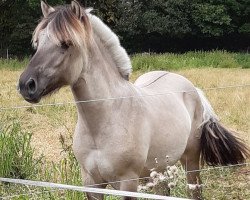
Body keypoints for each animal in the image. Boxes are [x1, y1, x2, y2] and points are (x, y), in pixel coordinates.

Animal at [18, 1, 250, 198]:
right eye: (37, 43)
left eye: (66, 44)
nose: (26, 85)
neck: (106, 120)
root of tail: (193, 89)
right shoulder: (91, 183)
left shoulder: (128, 182)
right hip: (160, 168)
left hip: (191, 160)